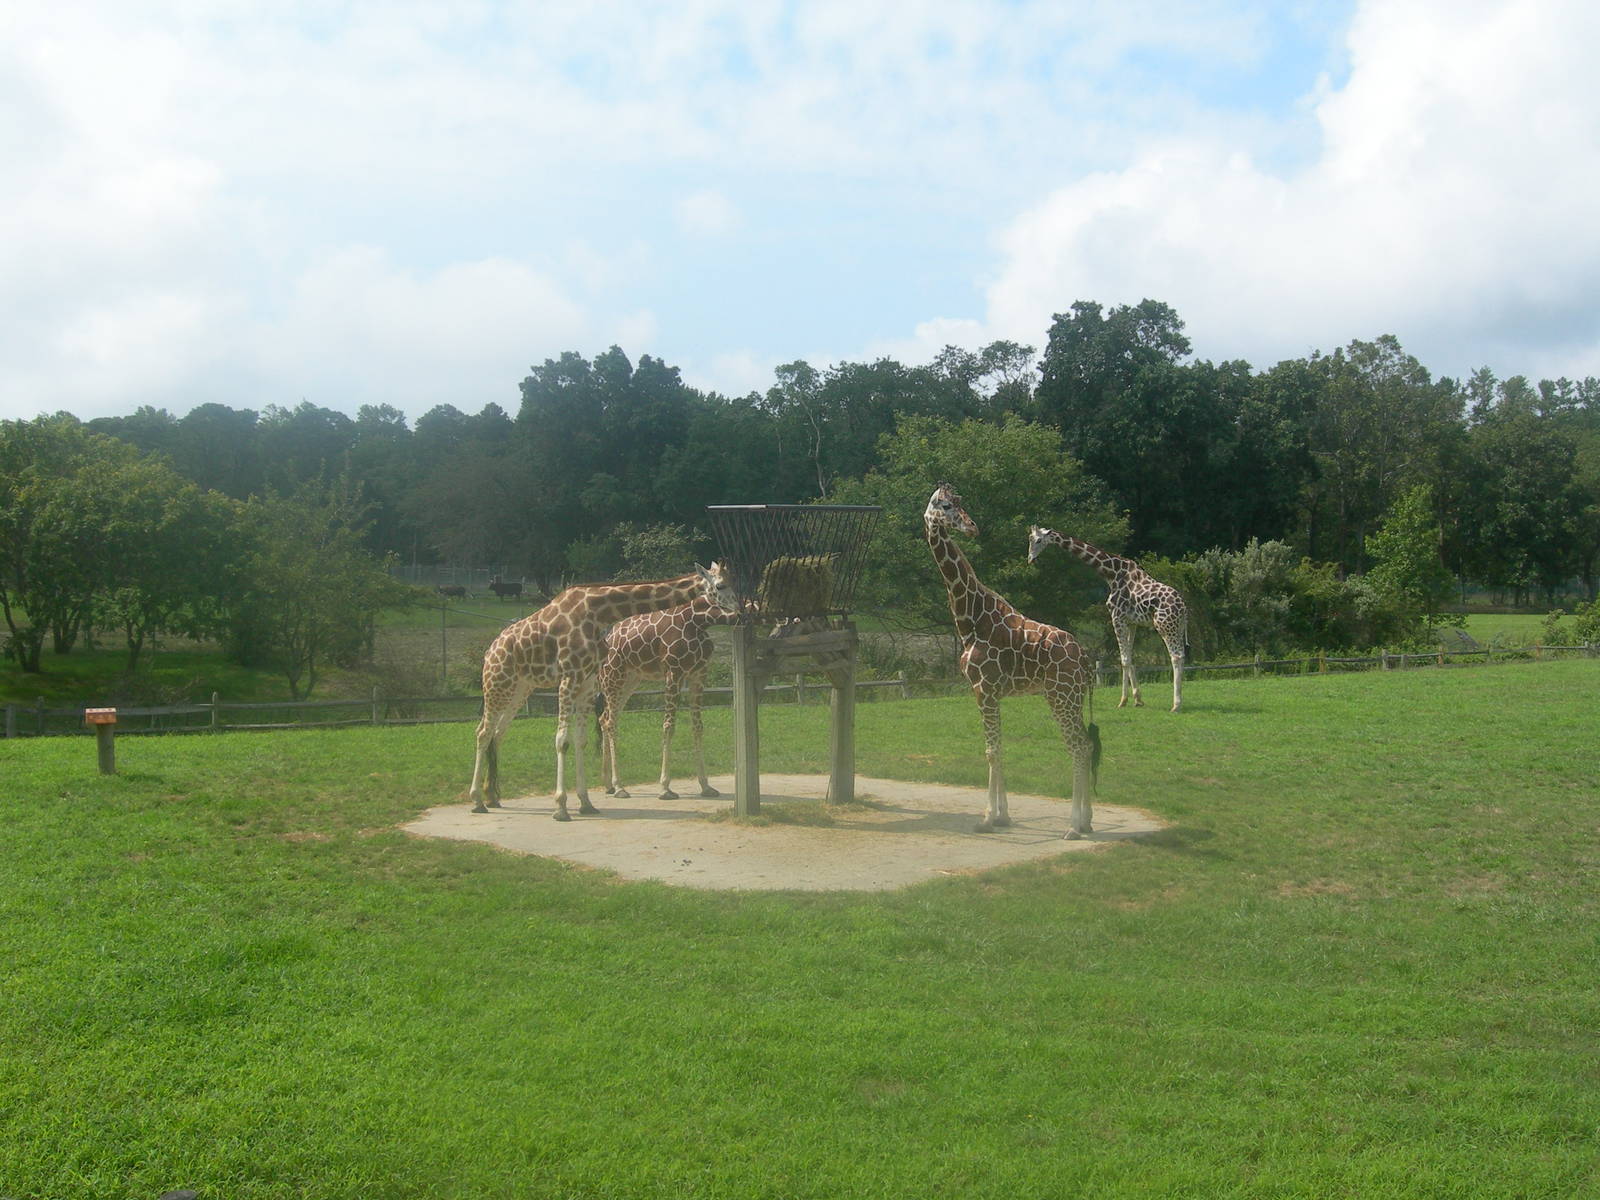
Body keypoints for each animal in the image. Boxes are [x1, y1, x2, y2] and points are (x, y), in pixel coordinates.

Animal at [597, 594, 733, 801]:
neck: (699, 620)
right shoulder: (673, 673)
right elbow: (669, 726)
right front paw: (665, 788)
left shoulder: (699, 674)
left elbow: (698, 727)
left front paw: (706, 786)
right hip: (613, 677)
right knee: (611, 722)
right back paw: (619, 787)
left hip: (631, 679)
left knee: (604, 719)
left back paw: (608, 784)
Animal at [924, 484, 1100, 838]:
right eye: (947, 505)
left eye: (960, 503)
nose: (972, 527)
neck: (971, 618)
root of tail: (1086, 659)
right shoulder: (991, 693)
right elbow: (1000, 748)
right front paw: (1003, 816)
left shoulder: (983, 689)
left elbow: (991, 751)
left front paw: (987, 819)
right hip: (1069, 698)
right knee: (1086, 744)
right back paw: (1086, 821)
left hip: (1060, 696)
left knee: (1078, 746)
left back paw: (1074, 826)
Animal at [1028, 527, 1188, 712]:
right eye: (1029, 539)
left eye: (1039, 540)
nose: (1030, 558)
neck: (1111, 573)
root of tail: (1183, 608)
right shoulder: (1131, 622)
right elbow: (1130, 658)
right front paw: (1137, 699)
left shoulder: (1116, 617)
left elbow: (1124, 660)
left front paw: (1123, 701)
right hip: (1177, 628)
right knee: (1182, 655)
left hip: (1165, 626)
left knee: (1176, 656)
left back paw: (1176, 705)